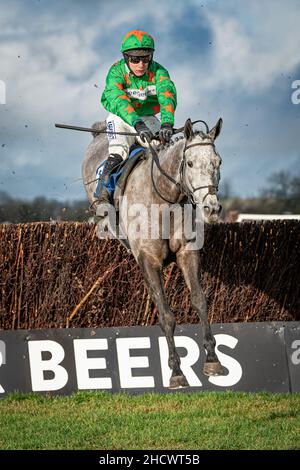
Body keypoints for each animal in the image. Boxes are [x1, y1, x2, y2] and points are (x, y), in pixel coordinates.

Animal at [83, 118, 224, 390]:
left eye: (218, 161)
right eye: (190, 163)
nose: (211, 208)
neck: (165, 198)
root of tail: (97, 132)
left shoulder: (187, 253)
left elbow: (199, 301)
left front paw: (213, 360)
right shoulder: (149, 260)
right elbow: (166, 315)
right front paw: (176, 372)